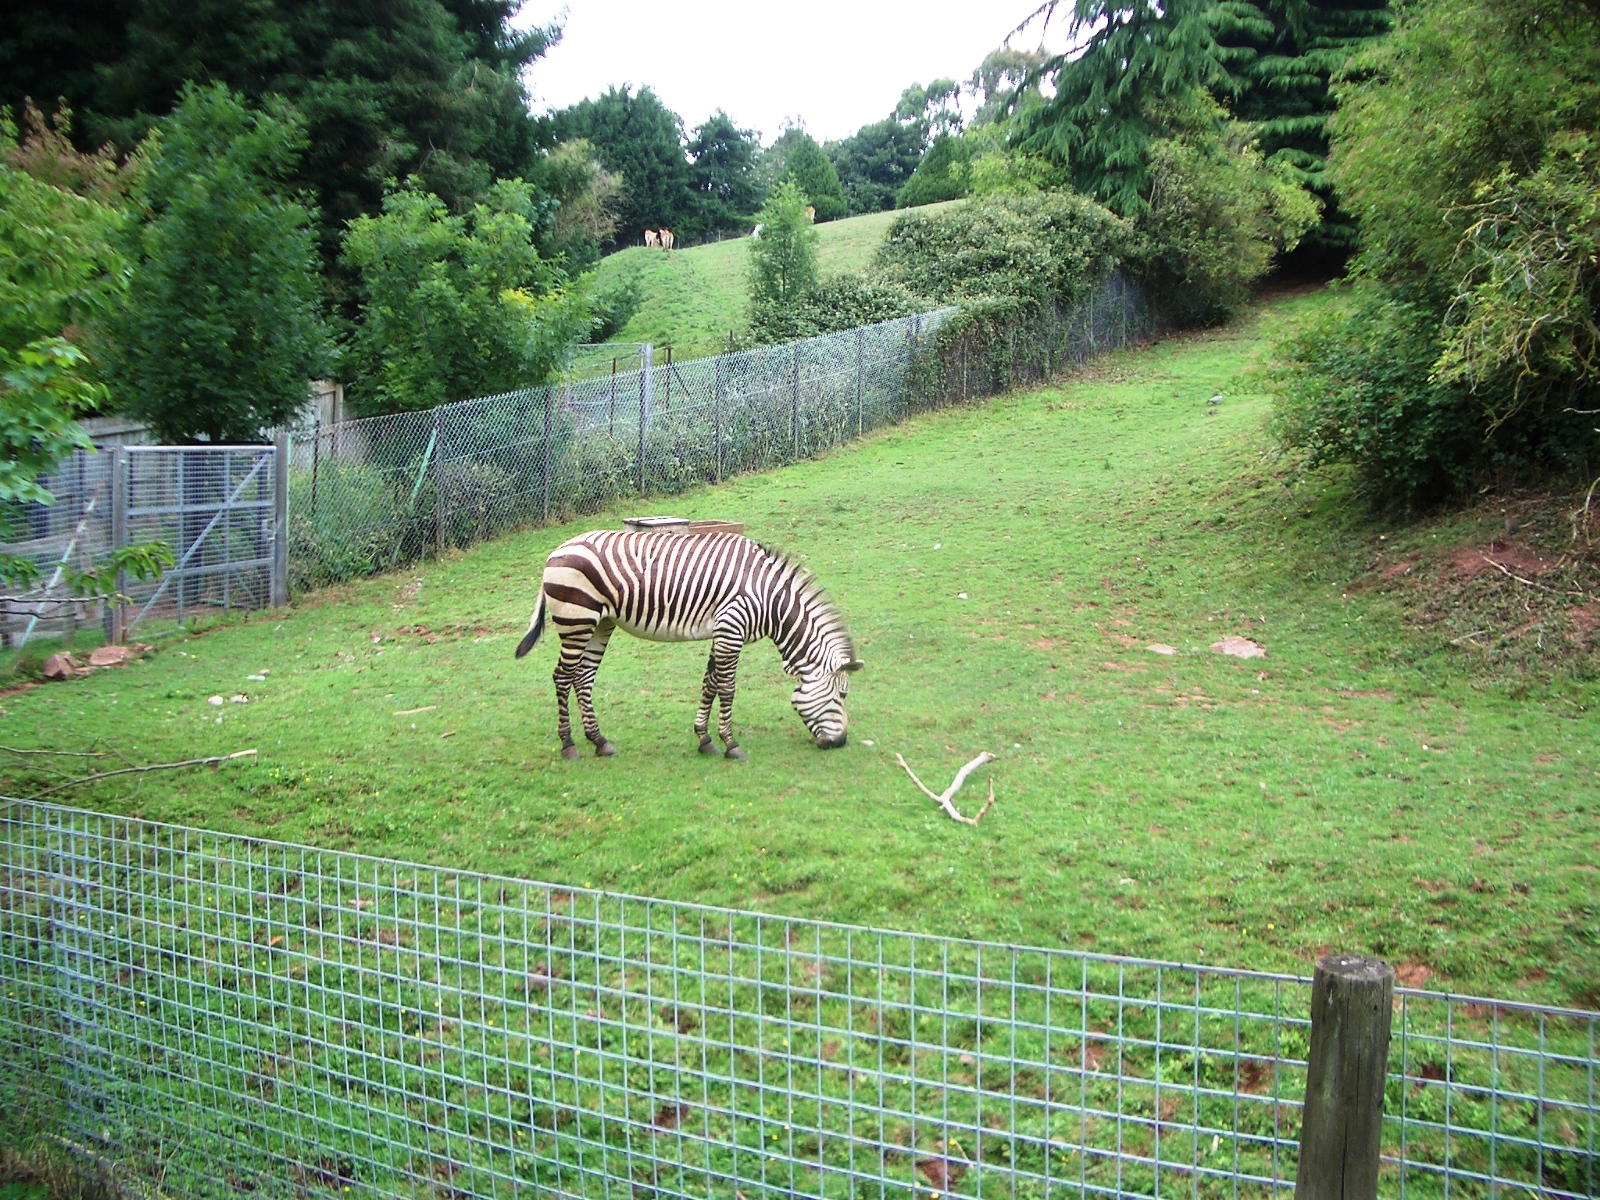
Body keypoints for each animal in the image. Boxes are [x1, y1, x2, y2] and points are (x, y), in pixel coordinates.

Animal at [515, 530, 862, 760]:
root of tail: (556, 551)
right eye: (842, 695)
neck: (770, 599)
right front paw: (731, 744)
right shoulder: (732, 629)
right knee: (563, 677)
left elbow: (710, 684)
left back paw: (600, 741)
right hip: (577, 620)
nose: (841, 742)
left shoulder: (722, 632)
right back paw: (569, 745)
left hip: (601, 623)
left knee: (583, 677)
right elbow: (727, 688)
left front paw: (705, 740)